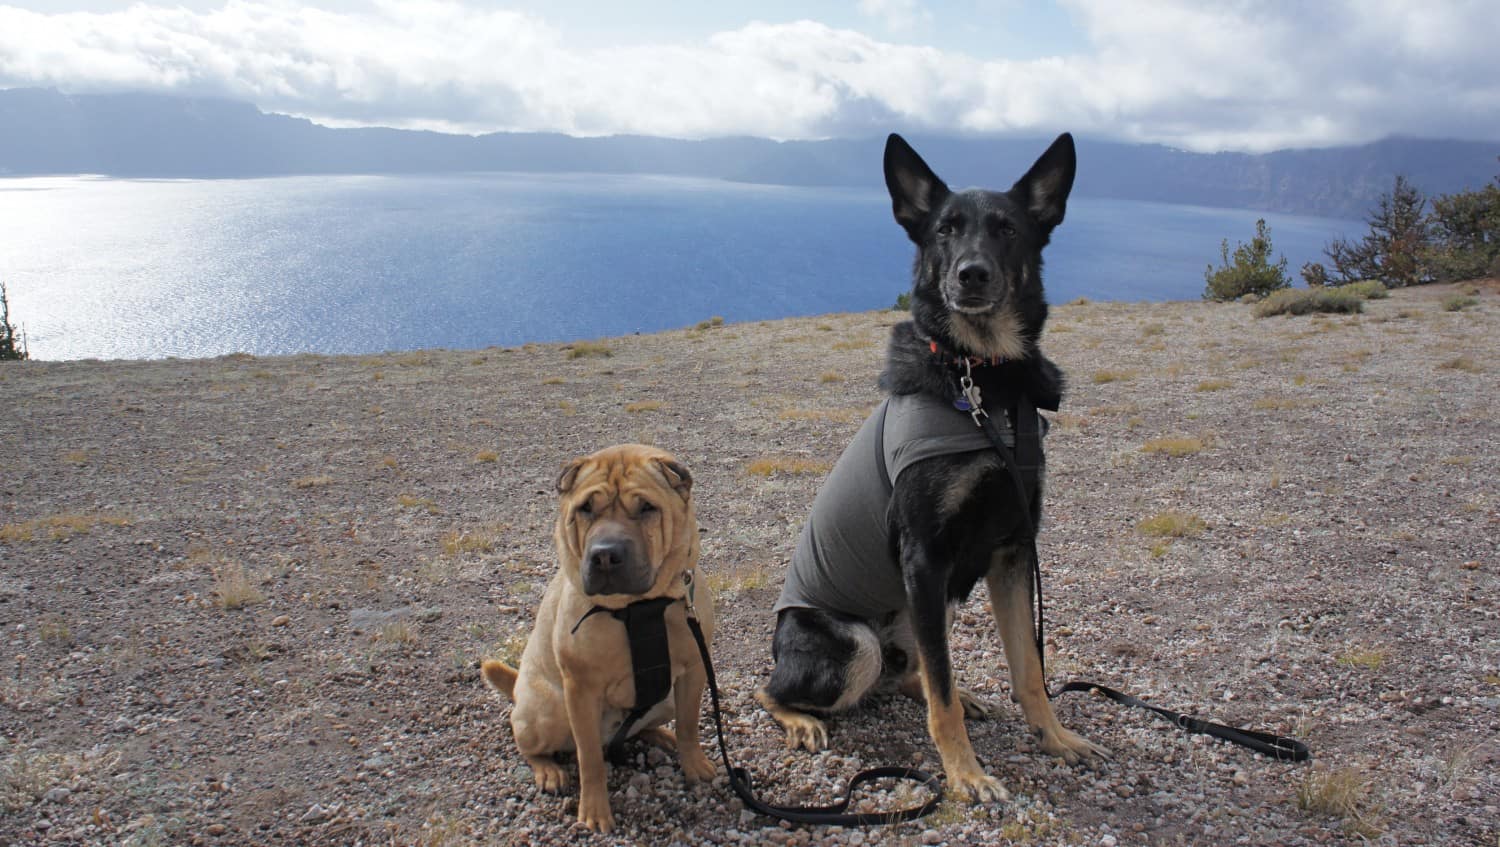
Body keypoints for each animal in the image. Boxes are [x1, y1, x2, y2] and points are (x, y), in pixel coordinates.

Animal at [480, 446, 714, 827]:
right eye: (585, 508)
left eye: (646, 508)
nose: (605, 554)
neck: (637, 608)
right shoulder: (580, 689)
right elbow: (589, 758)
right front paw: (594, 810)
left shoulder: (694, 670)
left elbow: (689, 724)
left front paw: (695, 765)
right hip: (549, 709)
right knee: (526, 740)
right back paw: (548, 770)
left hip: (663, 699)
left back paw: (659, 735)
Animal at [756, 131, 1110, 797]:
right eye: (945, 230)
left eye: (1006, 229)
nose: (971, 275)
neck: (983, 381)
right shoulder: (923, 557)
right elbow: (941, 697)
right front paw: (965, 774)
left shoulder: (1011, 551)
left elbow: (1029, 668)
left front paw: (1055, 737)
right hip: (858, 640)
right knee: (773, 690)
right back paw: (800, 720)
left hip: (922, 611)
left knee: (910, 671)